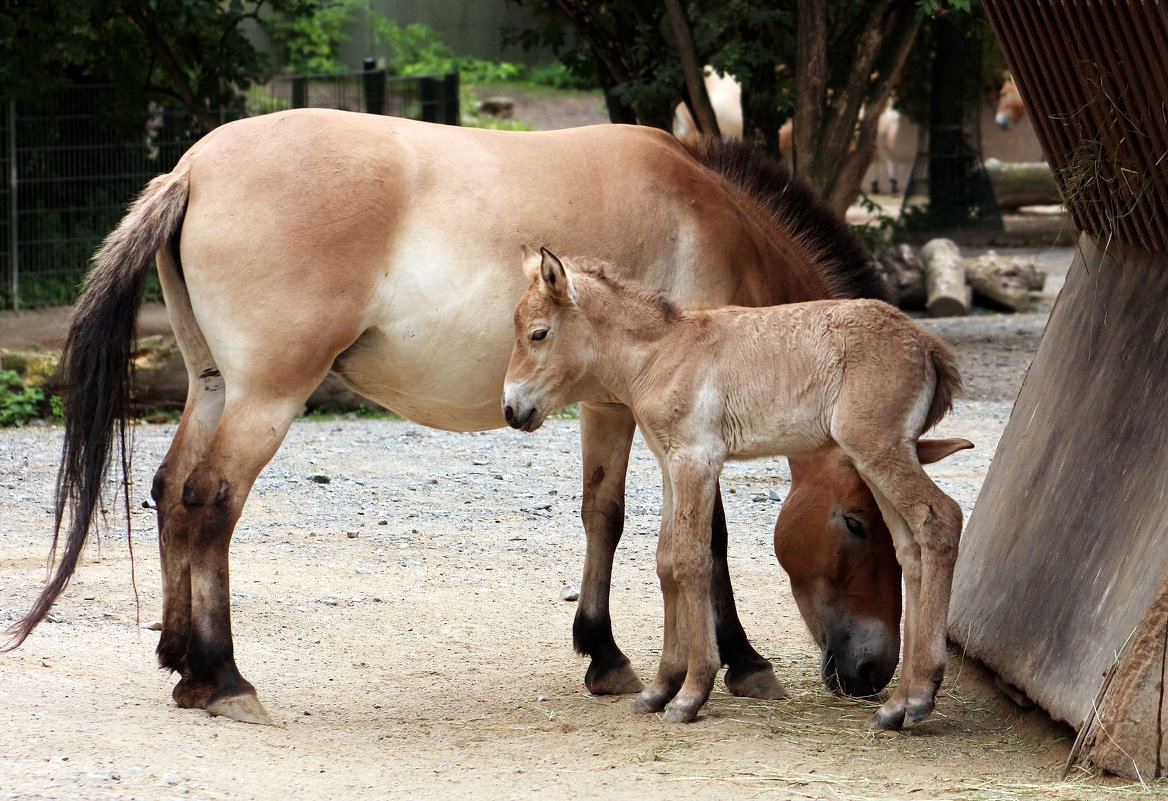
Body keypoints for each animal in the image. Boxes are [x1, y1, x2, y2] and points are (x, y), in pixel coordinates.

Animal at [9, 108, 892, 728]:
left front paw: (603, 654)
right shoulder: (669, 414)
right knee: (211, 503)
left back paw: (178, 660)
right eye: (858, 521)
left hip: (215, 385)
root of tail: (191, 169)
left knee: (170, 491)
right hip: (265, 397)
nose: (870, 672)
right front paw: (740, 661)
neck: (711, 216)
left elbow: (603, 515)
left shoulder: (608, 403)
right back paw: (222, 677)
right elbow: (705, 535)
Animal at [502, 249, 967, 728]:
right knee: (912, 549)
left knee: (941, 518)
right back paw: (898, 705)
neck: (662, 352)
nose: (512, 409)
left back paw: (918, 697)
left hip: (878, 449)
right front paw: (660, 688)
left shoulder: (696, 459)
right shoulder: (670, 463)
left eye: (538, 333)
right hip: (877, 459)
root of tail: (926, 343)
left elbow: (692, 561)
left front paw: (691, 693)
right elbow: (666, 562)